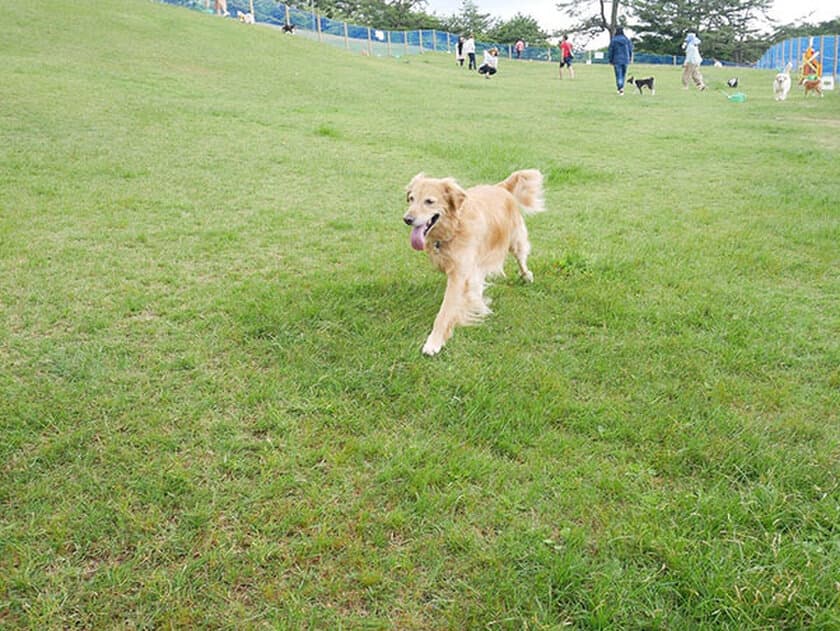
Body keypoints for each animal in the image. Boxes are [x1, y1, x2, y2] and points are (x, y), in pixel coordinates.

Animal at [402, 168, 544, 356]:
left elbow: (445, 312)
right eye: (411, 198)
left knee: (521, 258)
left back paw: (526, 275)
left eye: (429, 201)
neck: (454, 227)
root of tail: (500, 187)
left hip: (515, 239)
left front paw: (434, 342)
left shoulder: (459, 274)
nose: (407, 219)